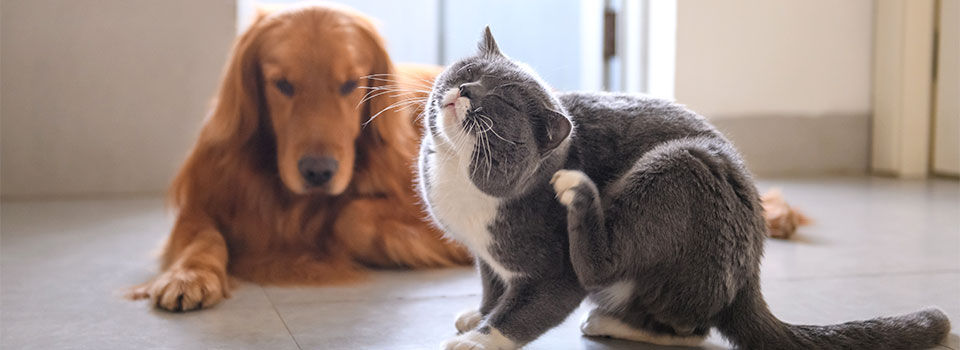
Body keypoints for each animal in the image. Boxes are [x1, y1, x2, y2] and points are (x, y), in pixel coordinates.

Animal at [127, 4, 472, 312]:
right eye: (282, 84)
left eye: (351, 84)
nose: (318, 172)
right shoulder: (202, 203)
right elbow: (202, 236)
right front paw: (188, 276)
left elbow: (351, 218)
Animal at [416, 28, 948, 350]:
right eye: (469, 72)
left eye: (502, 103)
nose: (465, 92)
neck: (458, 176)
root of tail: (750, 275)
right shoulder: (488, 257)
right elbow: (492, 288)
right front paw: (477, 316)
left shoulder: (550, 268)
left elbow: (529, 308)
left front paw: (480, 338)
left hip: (680, 168)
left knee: (684, 324)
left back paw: (585, 211)